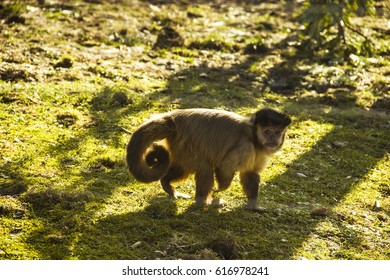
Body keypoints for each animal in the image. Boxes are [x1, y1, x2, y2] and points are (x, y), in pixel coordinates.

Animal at [126, 108, 290, 211]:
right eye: (267, 131)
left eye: (277, 132)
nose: (272, 138)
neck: (254, 137)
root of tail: (173, 118)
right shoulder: (245, 147)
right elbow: (224, 168)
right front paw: (220, 189)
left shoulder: (260, 153)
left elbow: (250, 174)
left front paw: (253, 205)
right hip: (187, 143)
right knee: (204, 168)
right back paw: (202, 202)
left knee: (183, 167)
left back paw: (167, 184)